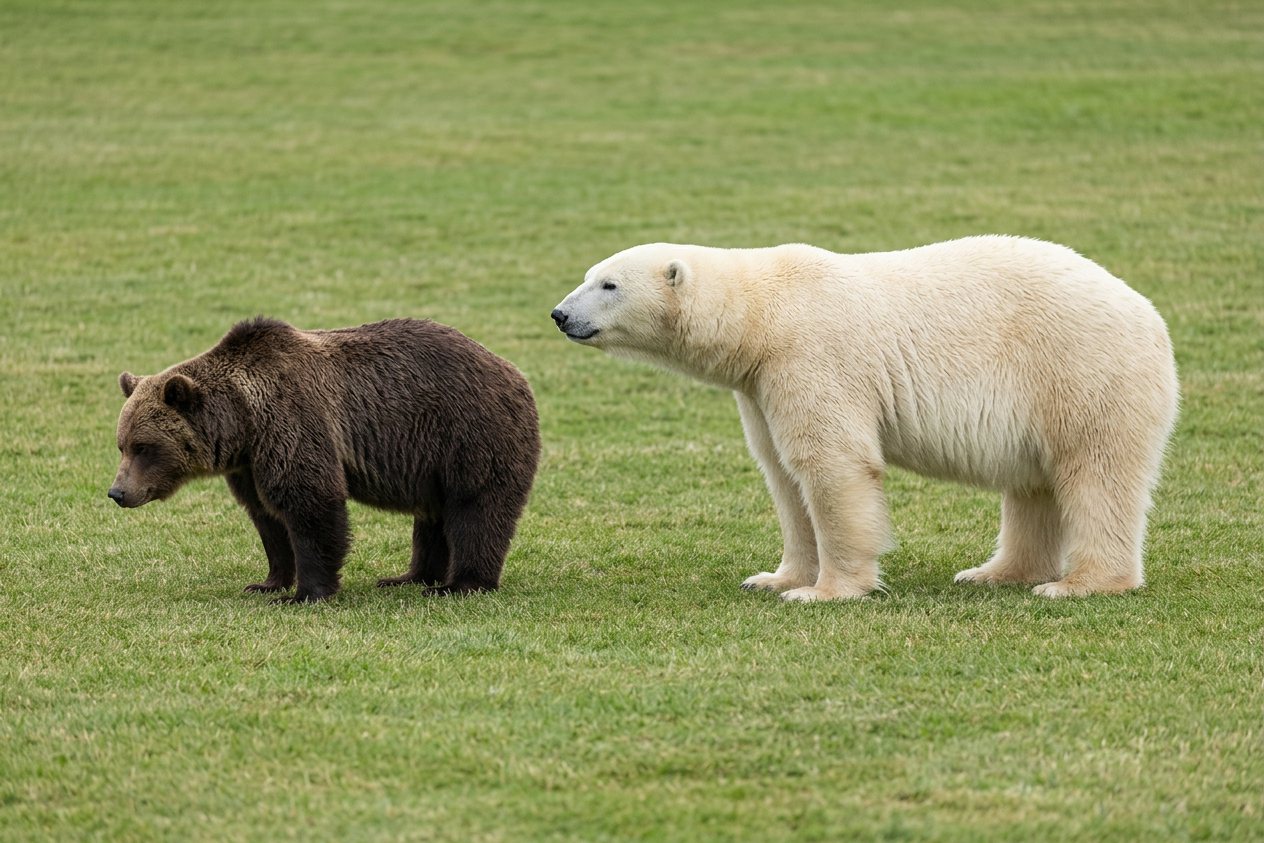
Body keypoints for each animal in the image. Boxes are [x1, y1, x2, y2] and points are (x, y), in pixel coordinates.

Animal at [109, 317, 540, 603]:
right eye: (122, 444)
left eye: (144, 446)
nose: (117, 492)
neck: (243, 423)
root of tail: (515, 373)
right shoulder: (250, 464)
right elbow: (267, 518)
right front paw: (268, 582)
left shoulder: (293, 422)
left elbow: (310, 503)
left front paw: (303, 593)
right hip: (430, 461)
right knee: (433, 515)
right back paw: (410, 577)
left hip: (470, 434)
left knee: (476, 508)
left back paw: (460, 585)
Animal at [551, 236, 1179, 601]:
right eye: (587, 274)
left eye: (608, 283)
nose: (559, 314)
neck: (765, 312)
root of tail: (1150, 315)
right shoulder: (759, 385)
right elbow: (782, 473)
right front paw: (774, 578)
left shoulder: (811, 357)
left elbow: (832, 464)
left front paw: (824, 592)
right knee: (1033, 485)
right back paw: (995, 572)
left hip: (1079, 369)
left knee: (1094, 472)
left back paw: (1078, 585)